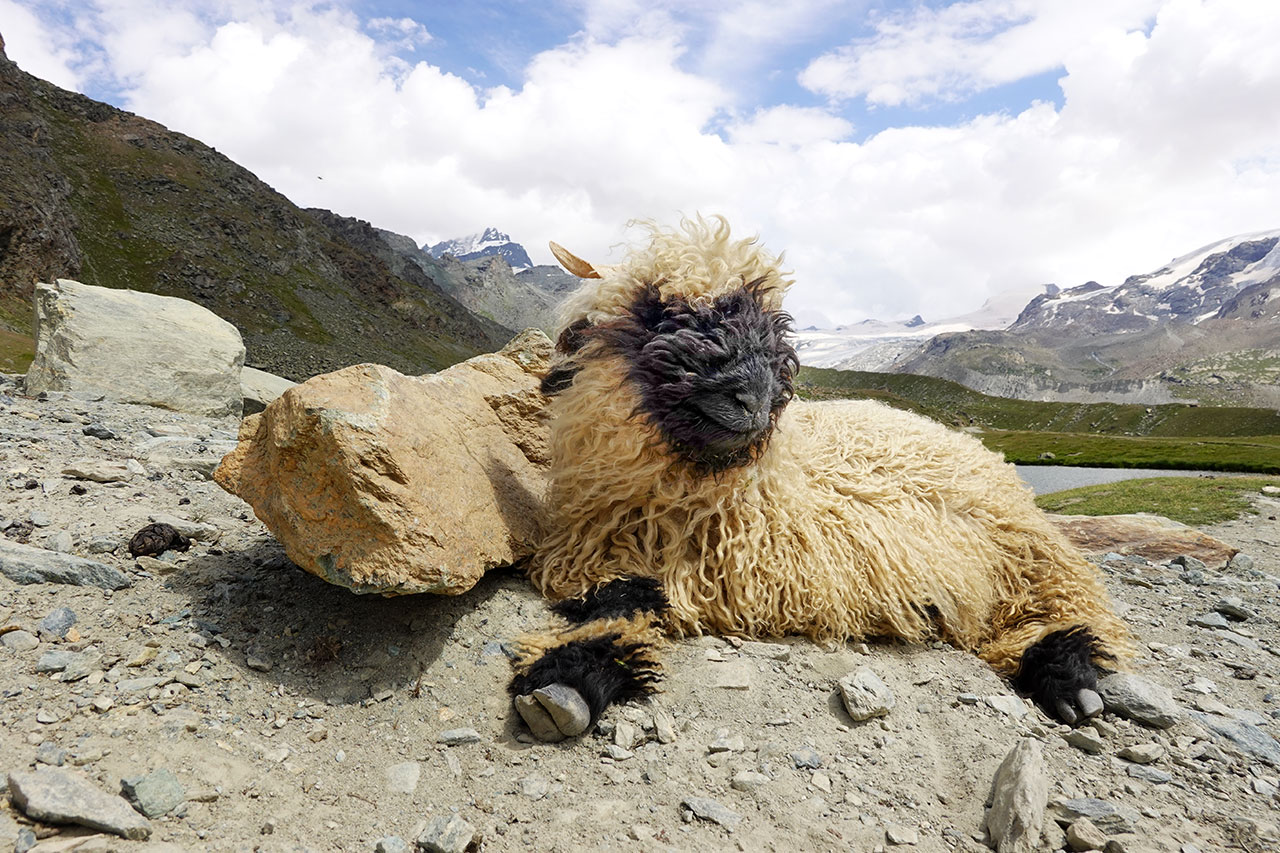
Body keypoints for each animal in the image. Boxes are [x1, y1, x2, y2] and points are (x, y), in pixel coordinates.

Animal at [509, 216, 1134, 741]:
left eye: (770, 321)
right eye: (658, 312)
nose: (753, 397)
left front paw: (568, 683)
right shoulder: (609, 554)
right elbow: (618, 605)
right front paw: (567, 682)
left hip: (1027, 551)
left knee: (1067, 603)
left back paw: (1068, 676)